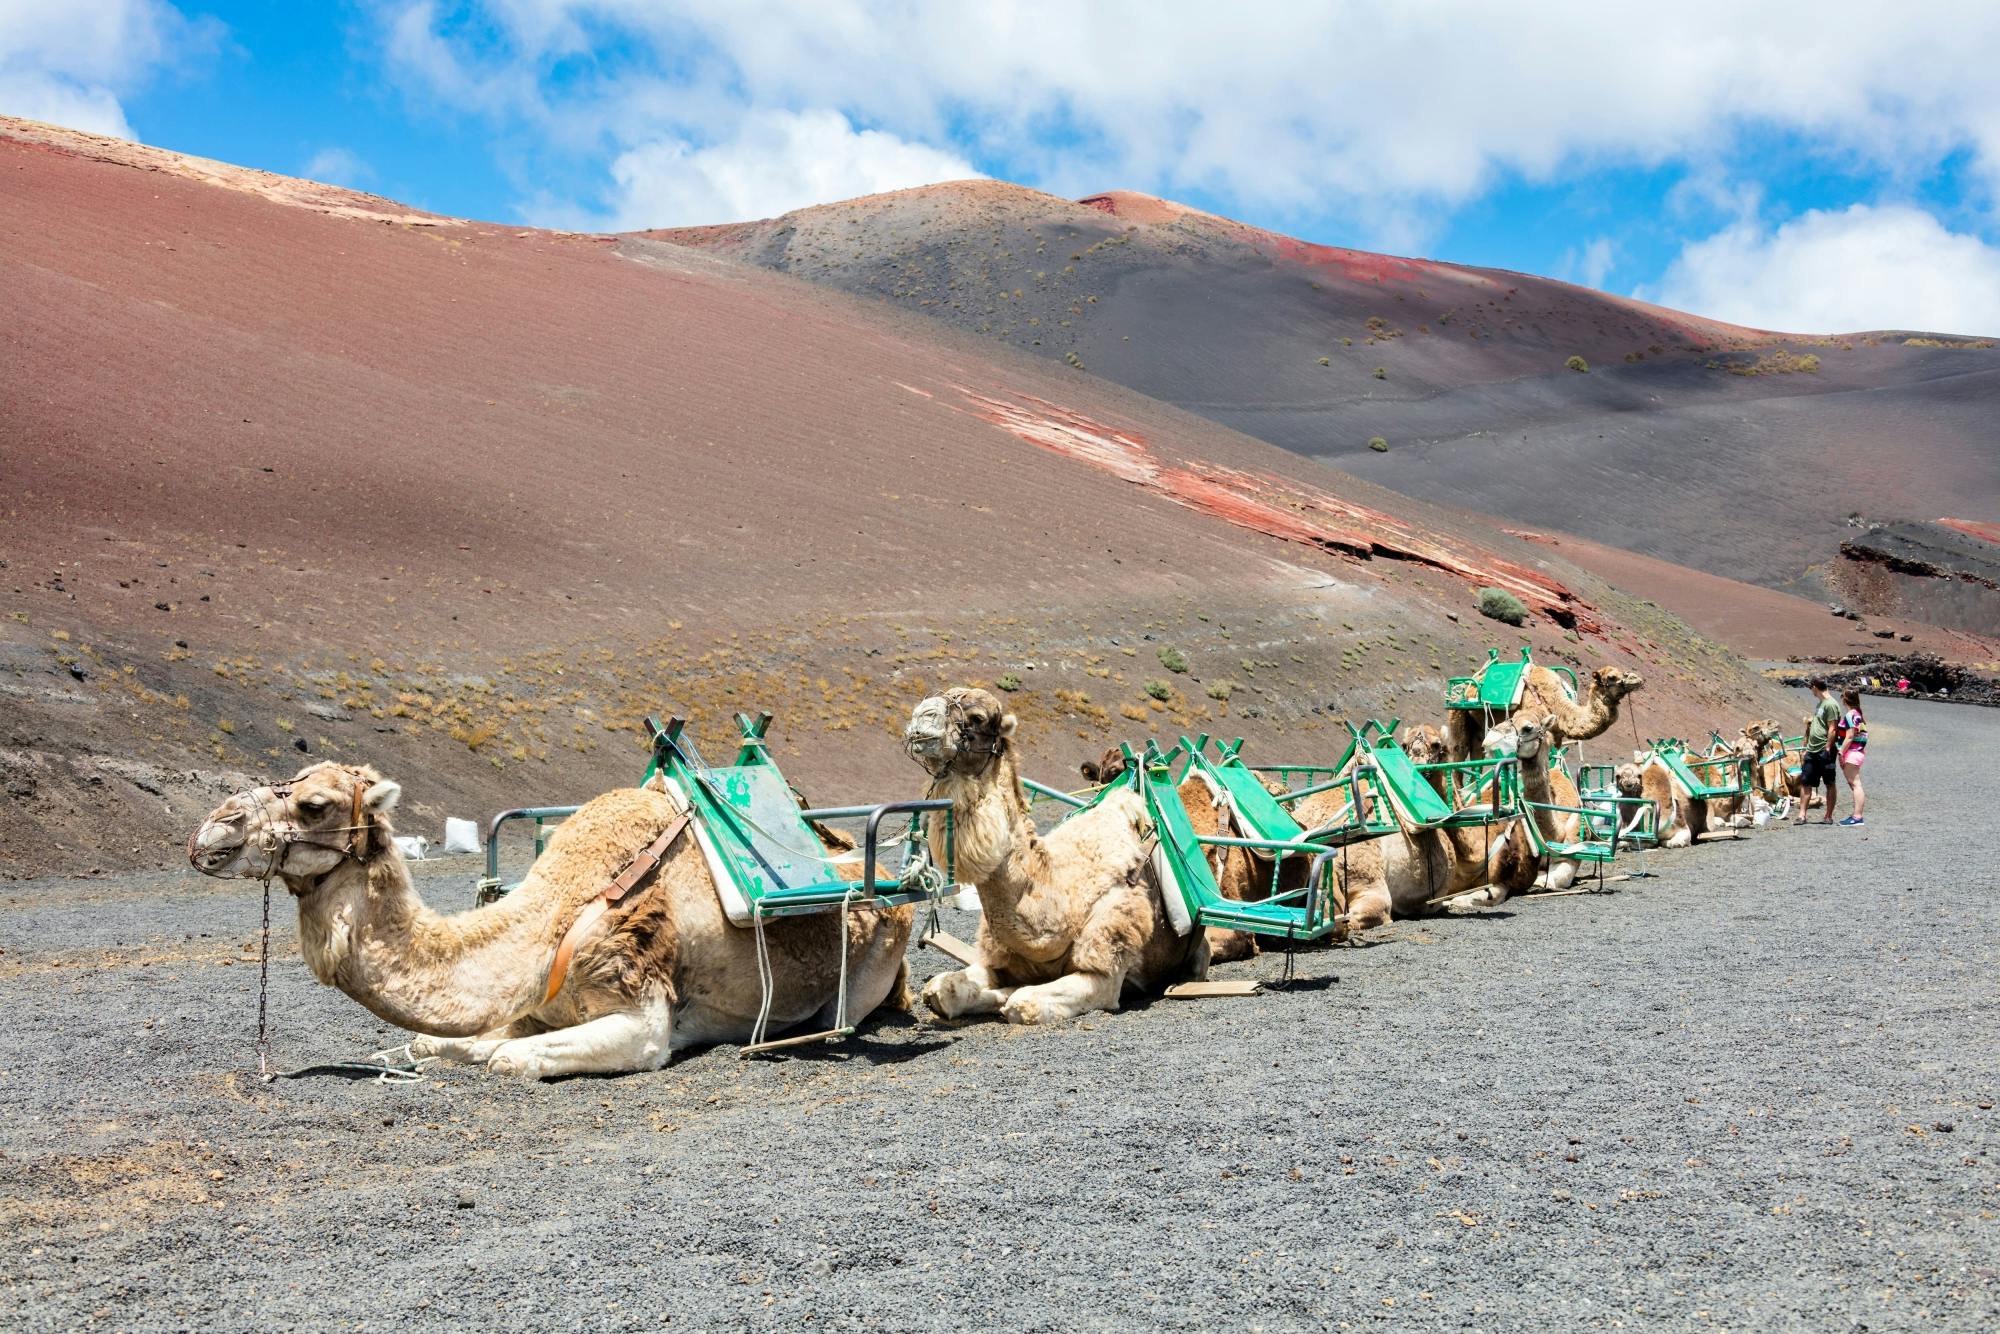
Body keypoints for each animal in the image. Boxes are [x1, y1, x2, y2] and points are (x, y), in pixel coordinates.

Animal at [189, 760, 916, 1072]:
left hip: (866, 972)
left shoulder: (643, 1020)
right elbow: (438, 1043)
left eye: (313, 804)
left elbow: (508, 1062)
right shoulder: (528, 1007)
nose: (211, 831)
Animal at [904, 696, 1208, 1032]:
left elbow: (1022, 1003)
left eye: (978, 717)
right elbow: (940, 990)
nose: (921, 716)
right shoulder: (1000, 958)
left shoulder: (1105, 973)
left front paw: (1008, 995)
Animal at [1448, 660, 1648, 760]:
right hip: (1456, 712)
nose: (1637, 679)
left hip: (1479, 727)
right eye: (1612, 677)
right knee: (1458, 751)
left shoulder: (1555, 739)